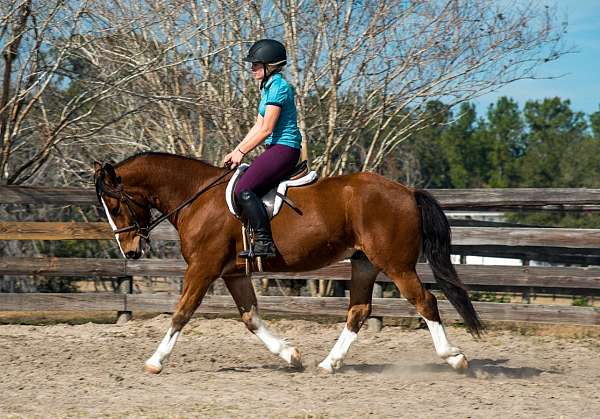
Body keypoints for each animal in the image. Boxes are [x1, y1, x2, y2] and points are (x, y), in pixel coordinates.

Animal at [94, 151, 482, 374]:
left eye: (114, 205)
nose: (130, 251)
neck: (196, 197)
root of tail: (407, 191)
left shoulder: (203, 269)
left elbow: (181, 313)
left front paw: (155, 361)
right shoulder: (233, 274)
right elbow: (250, 318)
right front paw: (291, 355)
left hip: (396, 265)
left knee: (425, 301)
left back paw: (455, 357)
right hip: (364, 263)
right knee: (359, 311)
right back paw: (328, 364)